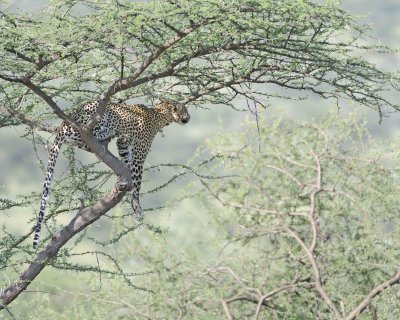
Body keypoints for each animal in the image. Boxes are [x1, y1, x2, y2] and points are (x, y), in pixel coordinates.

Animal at [33, 101, 191, 249]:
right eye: (185, 110)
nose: (189, 117)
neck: (160, 114)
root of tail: (63, 125)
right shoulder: (140, 150)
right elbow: (137, 177)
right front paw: (136, 204)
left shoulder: (123, 142)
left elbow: (127, 160)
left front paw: (126, 172)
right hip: (98, 115)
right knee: (90, 134)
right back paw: (106, 132)